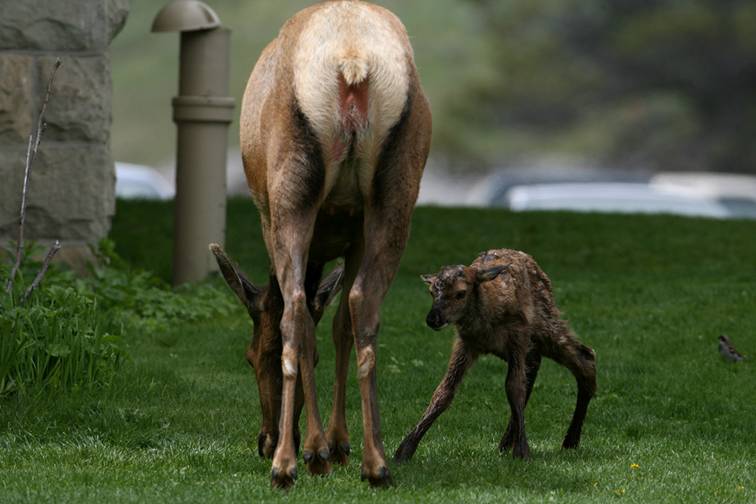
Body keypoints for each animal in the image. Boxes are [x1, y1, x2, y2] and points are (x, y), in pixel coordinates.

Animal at [230, 0, 432, 488]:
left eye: (250, 356)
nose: (262, 438)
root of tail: (351, 61)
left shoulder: (267, 217)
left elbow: (303, 320)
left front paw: (317, 447)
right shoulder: (354, 232)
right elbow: (341, 323)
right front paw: (339, 443)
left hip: (291, 187)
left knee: (295, 307)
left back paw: (289, 461)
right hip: (396, 188)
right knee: (363, 303)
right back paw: (375, 460)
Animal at [396, 248, 596, 460]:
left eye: (461, 293)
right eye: (431, 292)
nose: (433, 319)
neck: (485, 326)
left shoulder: (518, 334)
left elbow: (513, 387)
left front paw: (523, 451)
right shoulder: (465, 342)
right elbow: (444, 390)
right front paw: (405, 450)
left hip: (545, 322)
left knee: (585, 356)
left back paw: (570, 441)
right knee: (535, 363)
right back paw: (507, 443)